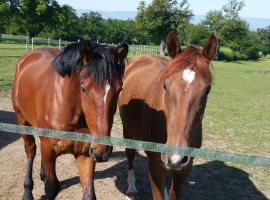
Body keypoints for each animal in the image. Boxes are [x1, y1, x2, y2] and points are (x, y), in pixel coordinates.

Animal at [13, 41, 129, 200]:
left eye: (120, 89)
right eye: (83, 87)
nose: (102, 150)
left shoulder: (85, 154)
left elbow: (89, 194)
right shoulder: (48, 149)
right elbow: (51, 188)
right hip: (22, 121)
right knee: (30, 151)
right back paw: (27, 191)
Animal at [118, 31, 217, 200]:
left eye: (207, 90)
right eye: (165, 85)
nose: (175, 156)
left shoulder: (184, 169)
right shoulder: (155, 167)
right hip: (128, 130)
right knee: (130, 155)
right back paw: (131, 188)